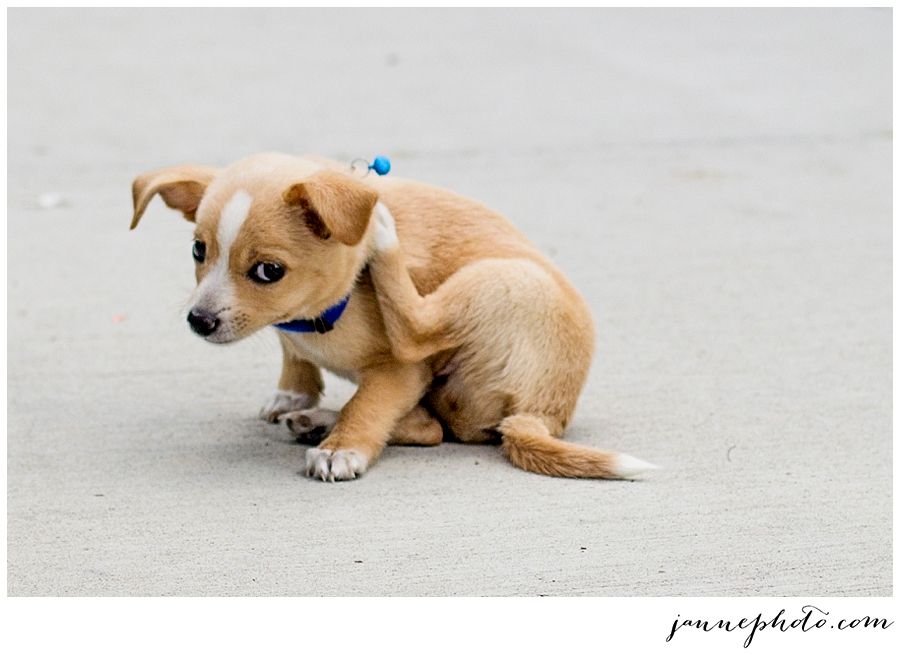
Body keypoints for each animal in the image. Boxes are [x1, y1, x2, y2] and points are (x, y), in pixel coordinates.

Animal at [130, 154, 656, 482]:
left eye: (268, 271)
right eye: (198, 250)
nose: (198, 320)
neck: (315, 315)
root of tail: (544, 413)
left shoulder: (401, 372)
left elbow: (370, 404)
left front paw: (343, 448)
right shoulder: (292, 332)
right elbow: (295, 353)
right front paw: (295, 394)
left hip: (496, 278)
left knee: (419, 347)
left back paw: (383, 240)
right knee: (434, 427)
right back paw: (317, 419)